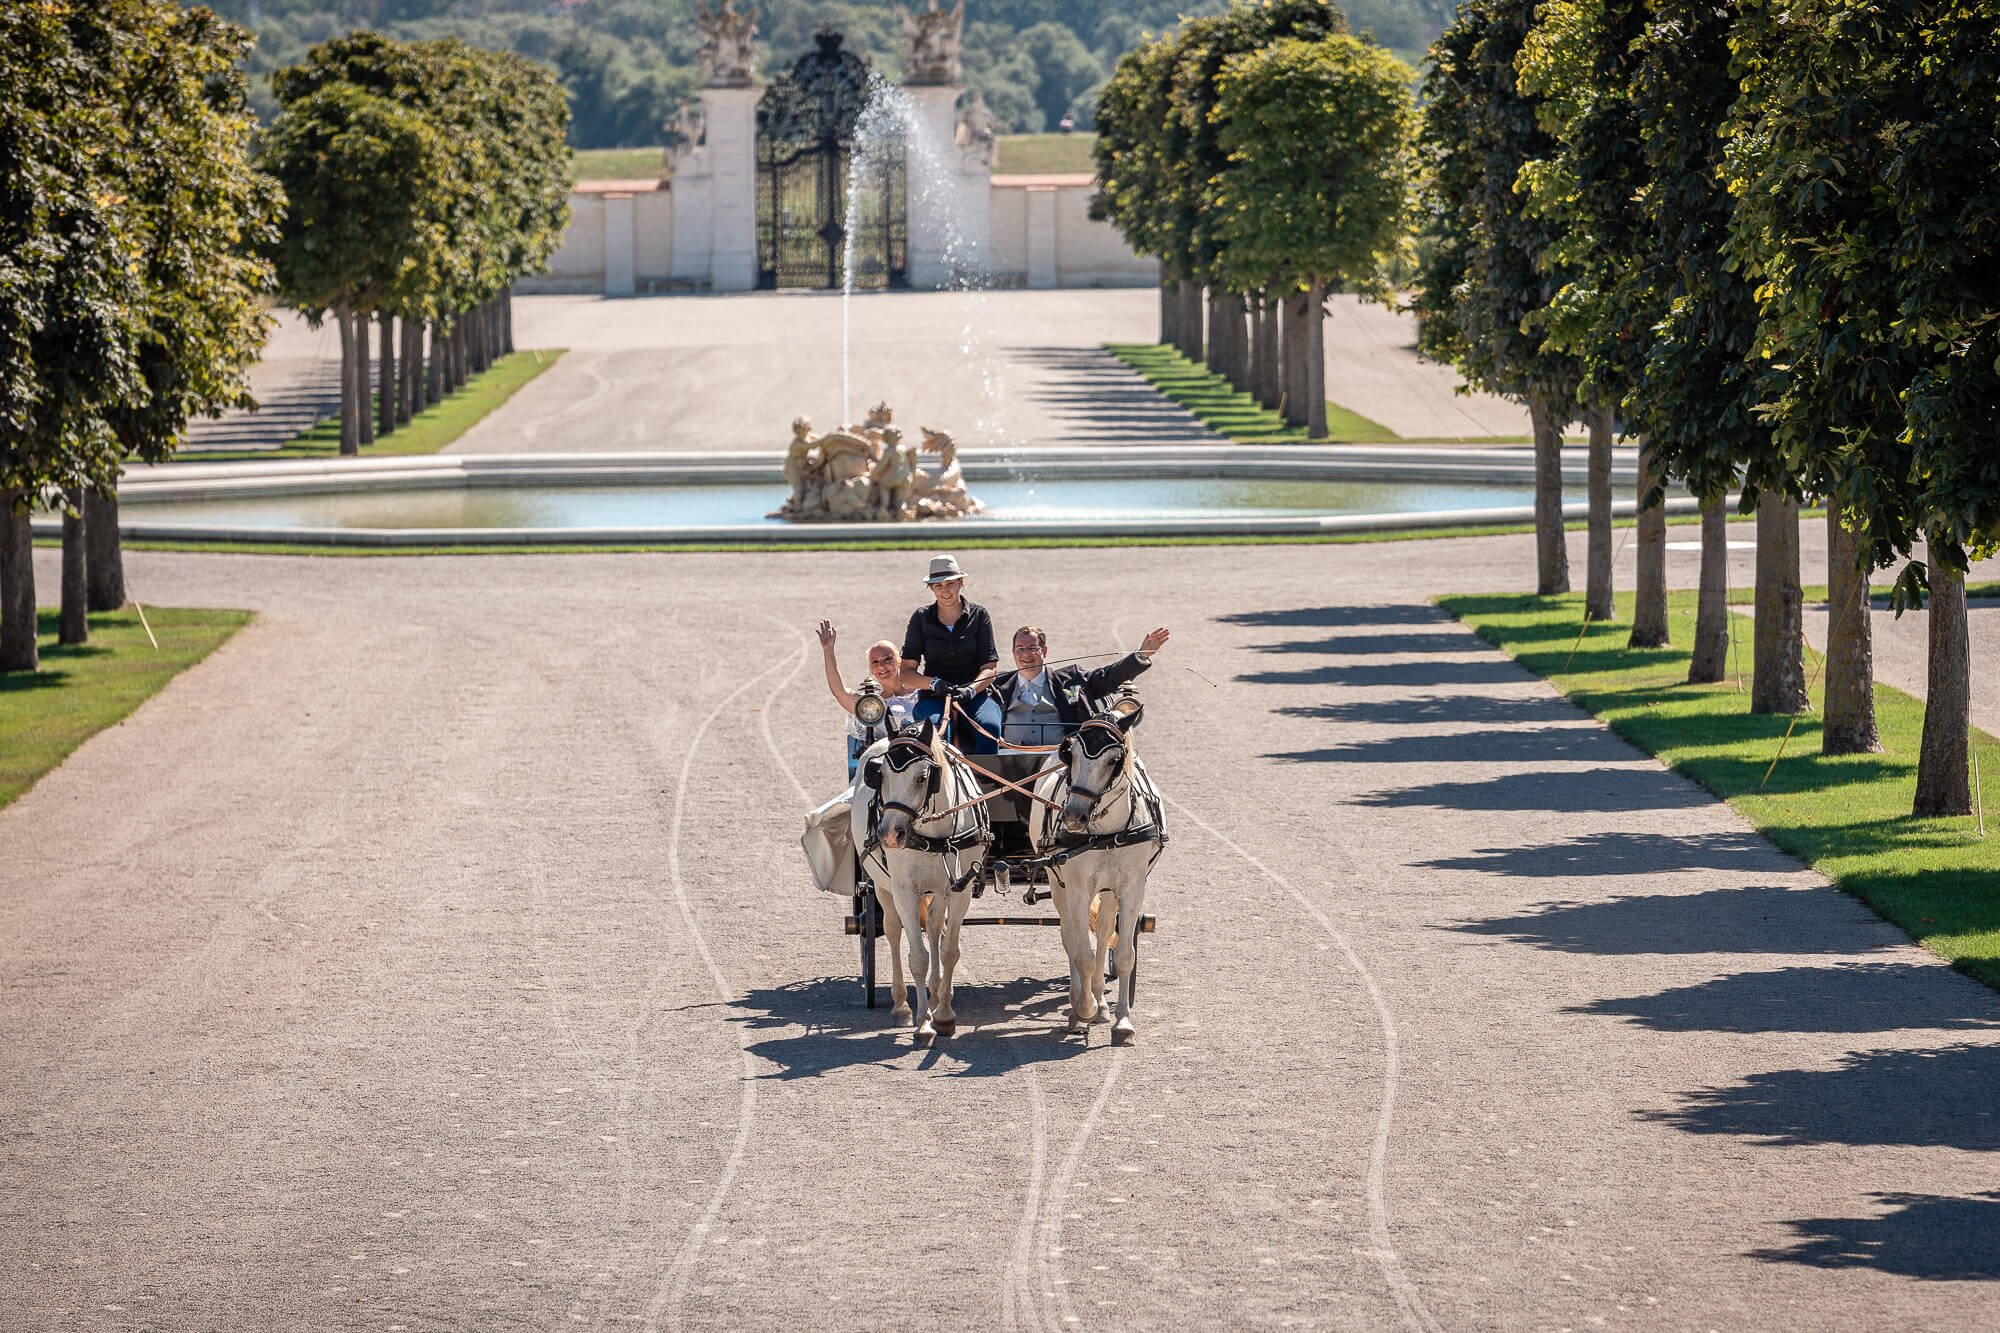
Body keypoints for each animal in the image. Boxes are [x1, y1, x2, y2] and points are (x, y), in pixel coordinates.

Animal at [852, 720, 992, 1040]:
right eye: (880, 774)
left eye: (922, 777)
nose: (889, 834)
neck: (933, 835)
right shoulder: (905, 891)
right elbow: (917, 956)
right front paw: (923, 1022)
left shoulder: (960, 889)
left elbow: (949, 950)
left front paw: (943, 1014)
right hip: (882, 886)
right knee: (892, 930)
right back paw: (901, 1005)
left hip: (938, 889)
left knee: (935, 925)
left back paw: (937, 992)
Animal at [1032, 704, 1168, 1040]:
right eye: (1071, 753)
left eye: (1113, 760)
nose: (1074, 816)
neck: (1106, 833)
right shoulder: (1077, 889)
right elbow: (1081, 952)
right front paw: (1083, 1009)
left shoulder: (1132, 888)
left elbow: (1123, 954)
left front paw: (1122, 1021)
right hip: (1058, 884)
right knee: (1070, 936)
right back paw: (1081, 1002)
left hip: (1108, 891)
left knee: (1106, 930)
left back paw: (1101, 1003)